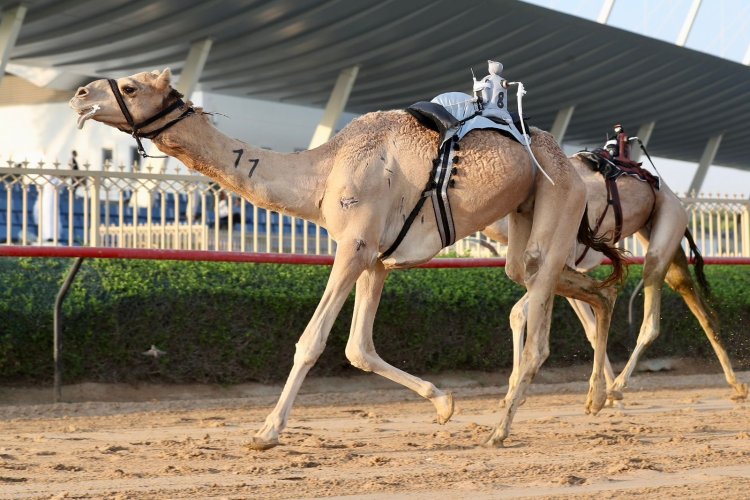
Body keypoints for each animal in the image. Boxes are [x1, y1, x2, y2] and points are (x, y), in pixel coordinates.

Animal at [69, 69, 628, 450]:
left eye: (131, 87)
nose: (79, 93)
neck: (321, 172)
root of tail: (573, 162)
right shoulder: (376, 258)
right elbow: (359, 348)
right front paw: (443, 404)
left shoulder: (353, 247)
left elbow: (311, 341)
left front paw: (266, 432)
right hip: (523, 218)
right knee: (575, 284)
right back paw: (600, 395)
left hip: (557, 199)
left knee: (536, 322)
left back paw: (501, 429)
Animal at [484, 156, 748, 402]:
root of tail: (673, 196)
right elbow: (525, 314)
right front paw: (512, 390)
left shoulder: (562, 262)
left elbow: (581, 325)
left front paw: (602, 394)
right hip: (653, 233)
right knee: (698, 302)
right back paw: (736, 385)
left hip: (667, 225)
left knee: (652, 318)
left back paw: (618, 387)